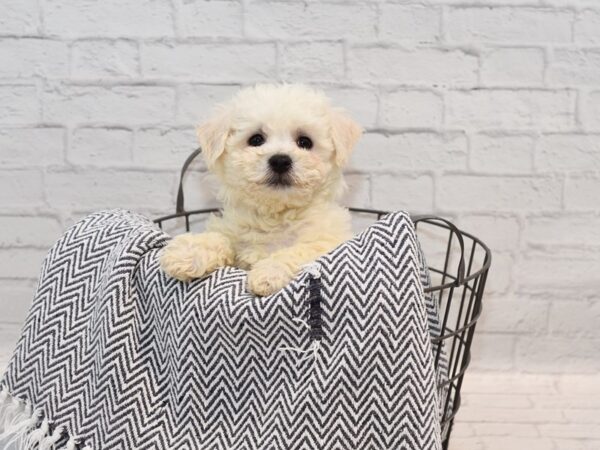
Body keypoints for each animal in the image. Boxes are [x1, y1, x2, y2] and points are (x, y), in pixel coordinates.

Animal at [159, 83, 364, 296]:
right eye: (256, 139)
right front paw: (187, 253)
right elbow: (220, 237)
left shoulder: (327, 241)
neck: (276, 215)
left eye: (305, 142)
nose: (280, 161)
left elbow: (300, 250)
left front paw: (268, 273)